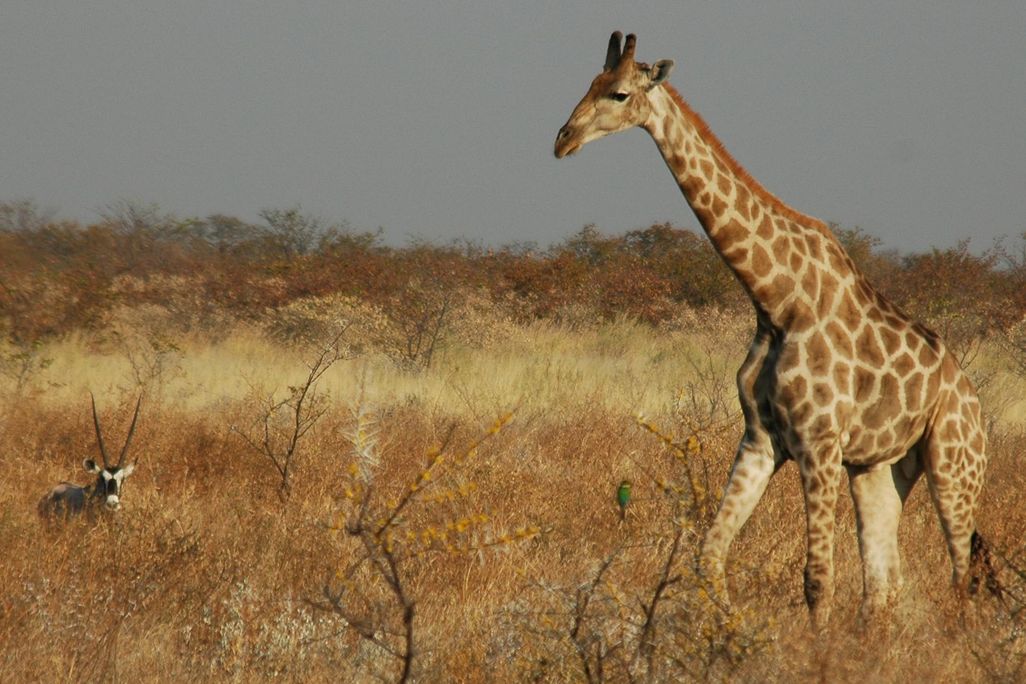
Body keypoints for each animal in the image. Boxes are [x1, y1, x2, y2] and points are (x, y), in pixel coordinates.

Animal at [555, 32, 993, 627]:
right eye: (589, 83)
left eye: (619, 93)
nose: (563, 140)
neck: (775, 300)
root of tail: (971, 397)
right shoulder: (762, 437)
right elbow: (709, 554)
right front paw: (727, 633)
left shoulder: (819, 442)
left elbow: (817, 578)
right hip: (882, 468)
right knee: (884, 582)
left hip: (953, 463)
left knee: (959, 575)